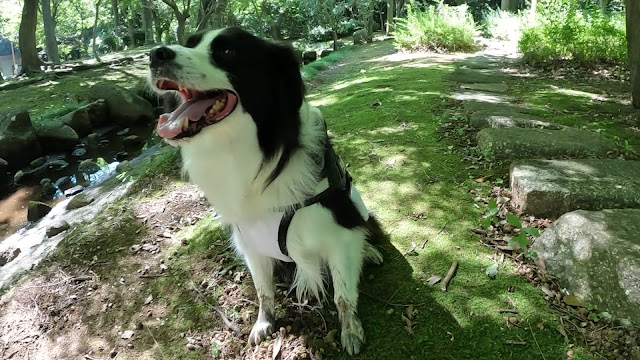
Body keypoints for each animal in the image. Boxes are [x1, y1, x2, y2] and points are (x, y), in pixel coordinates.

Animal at [148, 26, 382, 354]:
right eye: (190, 43)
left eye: (228, 51)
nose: (155, 54)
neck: (257, 152)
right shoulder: (250, 241)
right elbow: (263, 291)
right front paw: (263, 323)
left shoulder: (340, 231)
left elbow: (343, 294)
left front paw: (351, 331)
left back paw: (369, 250)